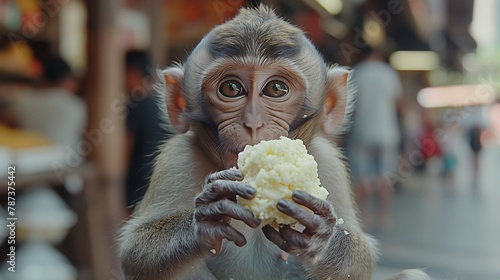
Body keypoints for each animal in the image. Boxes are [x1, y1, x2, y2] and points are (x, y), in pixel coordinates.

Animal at [116, 4, 430, 280]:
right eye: (231, 88)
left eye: (276, 89)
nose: (253, 123)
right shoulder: (177, 157)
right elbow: (134, 254)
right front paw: (207, 216)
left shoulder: (328, 160)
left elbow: (362, 263)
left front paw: (324, 235)